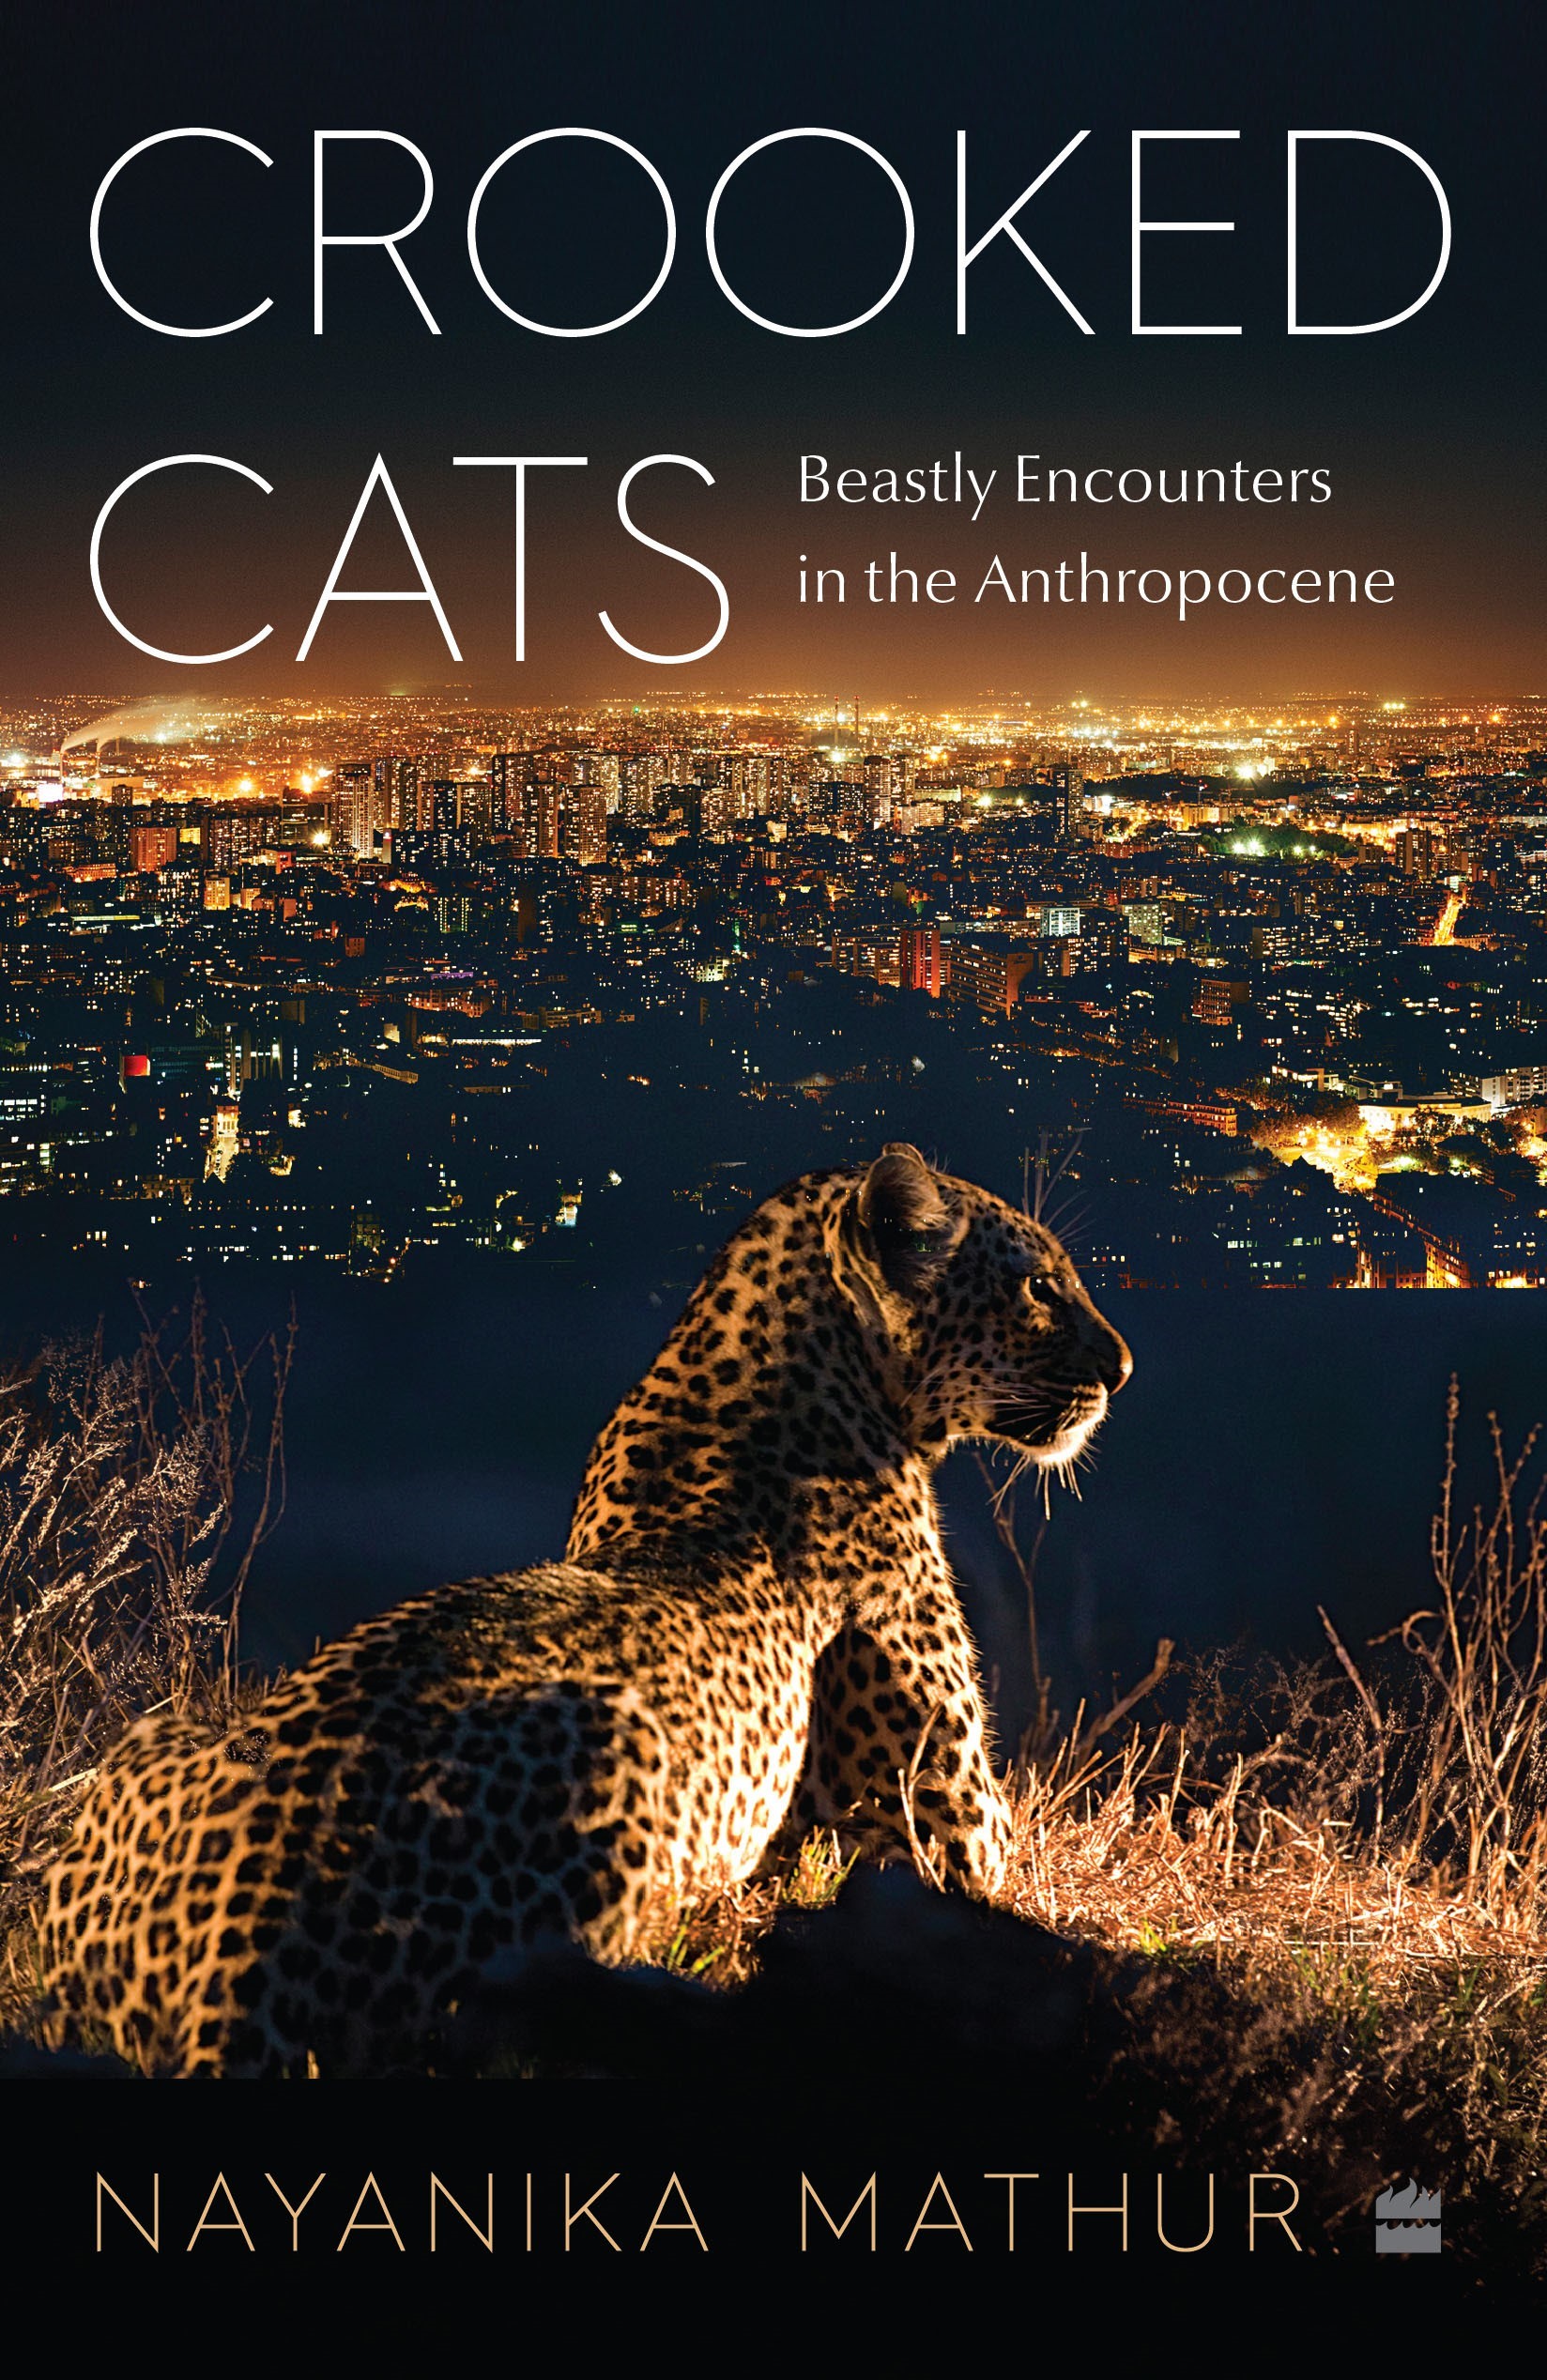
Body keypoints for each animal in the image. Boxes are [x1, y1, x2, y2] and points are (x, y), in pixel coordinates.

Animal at [37, 1143, 1131, 2077]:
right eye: (1040, 1286)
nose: (1120, 1369)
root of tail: (237, 1960)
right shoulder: (946, 1832)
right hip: (620, 1764)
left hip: (147, 1744)